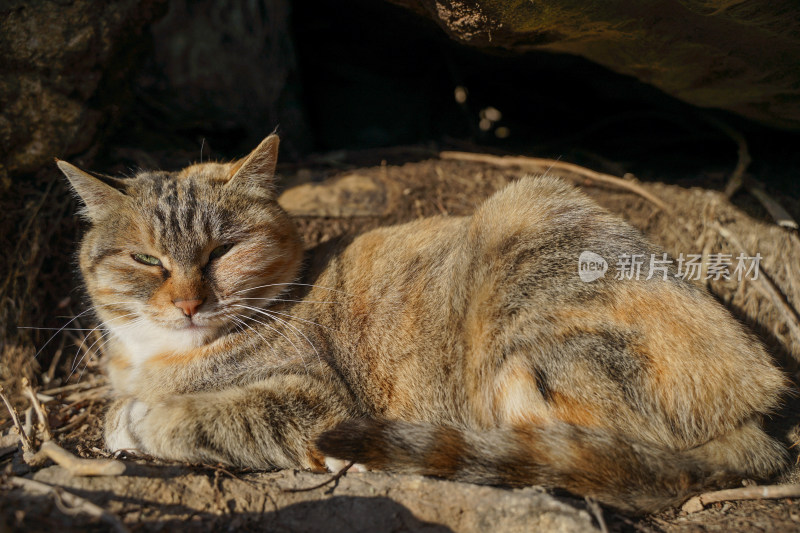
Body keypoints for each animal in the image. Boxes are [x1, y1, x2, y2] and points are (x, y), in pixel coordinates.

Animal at [57, 133, 788, 512]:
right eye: (147, 259)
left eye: (221, 252)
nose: (187, 303)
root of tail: (758, 407)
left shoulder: (311, 399)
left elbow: (192, 415)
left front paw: (132, 421)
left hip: (521, 250)